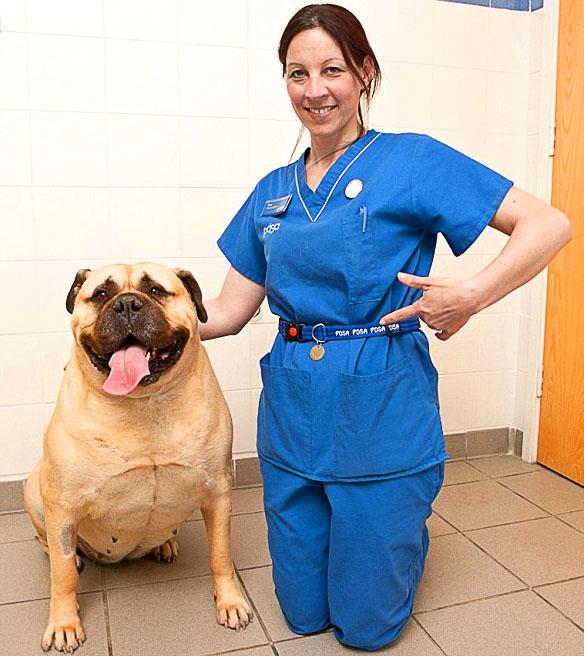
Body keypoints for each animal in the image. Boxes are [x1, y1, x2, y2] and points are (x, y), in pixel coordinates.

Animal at [25, 262, 253, 652]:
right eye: (101, 294)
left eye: (156, 290)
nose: (127, 305)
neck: (143, 404)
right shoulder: (63, 507)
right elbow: (62, 574)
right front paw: (64, 623)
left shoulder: (218, 491)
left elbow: (221, 555)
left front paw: (231, 602)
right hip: (34, 491)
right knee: (53, 548)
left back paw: (165, 545)